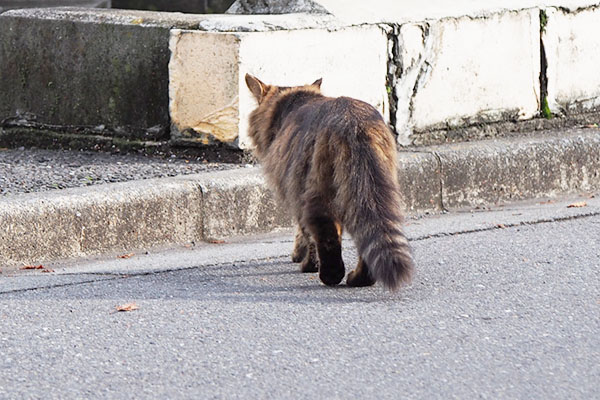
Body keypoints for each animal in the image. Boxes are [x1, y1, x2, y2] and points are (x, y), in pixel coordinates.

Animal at [244, 73, 412, 290]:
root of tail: (352, 120)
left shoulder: (295, 189)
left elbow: (304, 232)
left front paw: (306, 260)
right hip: (371, 189)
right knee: (368, 230)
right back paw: (360, 278)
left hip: (318, 185)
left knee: (326, 230)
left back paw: (331, 275)